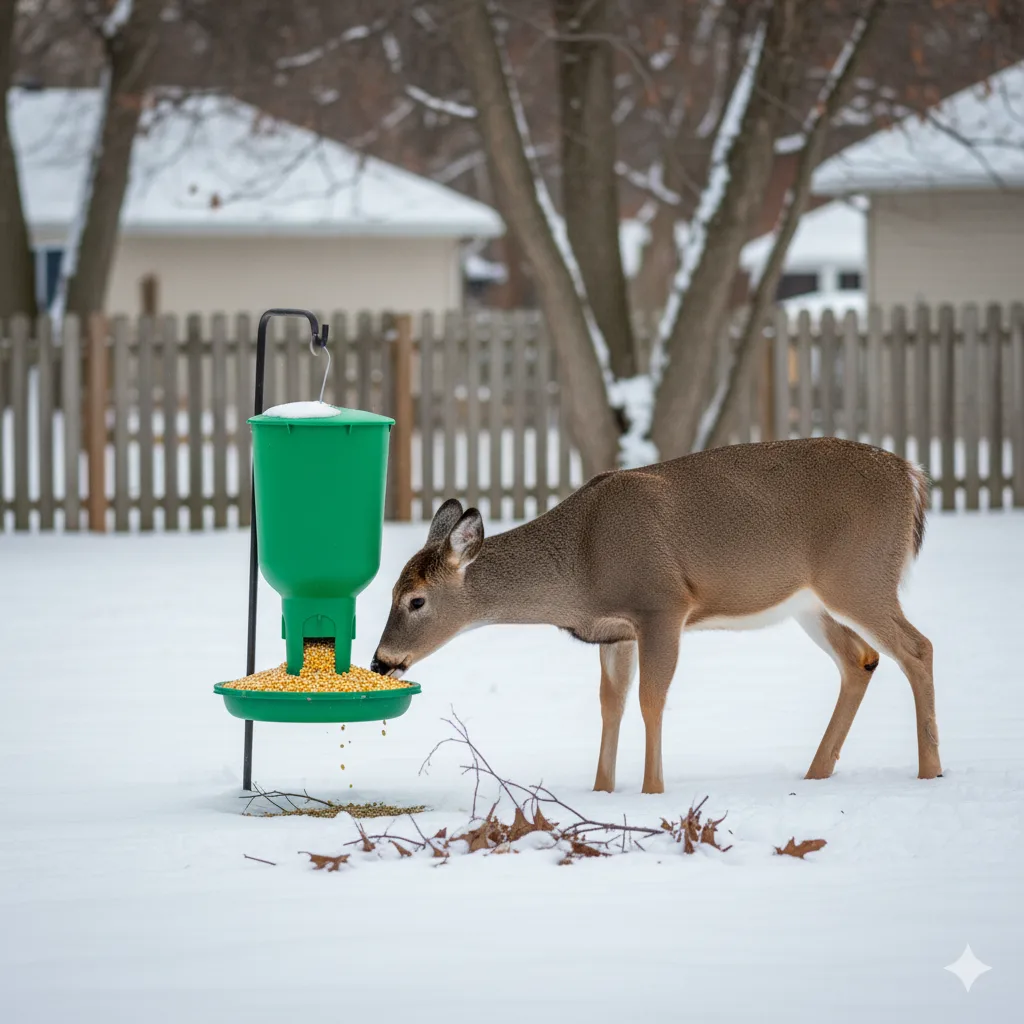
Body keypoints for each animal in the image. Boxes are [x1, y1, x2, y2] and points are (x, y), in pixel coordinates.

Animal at [371, 437, 940, 794]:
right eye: (392, 591)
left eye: (416, 600)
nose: (380, 660)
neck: (583, 562)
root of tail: (912, 477)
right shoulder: (614, 632)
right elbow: (611, 704)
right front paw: (602, 789)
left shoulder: (663, 604)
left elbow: (651, 699)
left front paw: (652, 790)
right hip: (812, 602)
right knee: (860, 660)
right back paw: (816, 774)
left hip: (860, 575)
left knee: (917, 647)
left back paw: (929, 771)